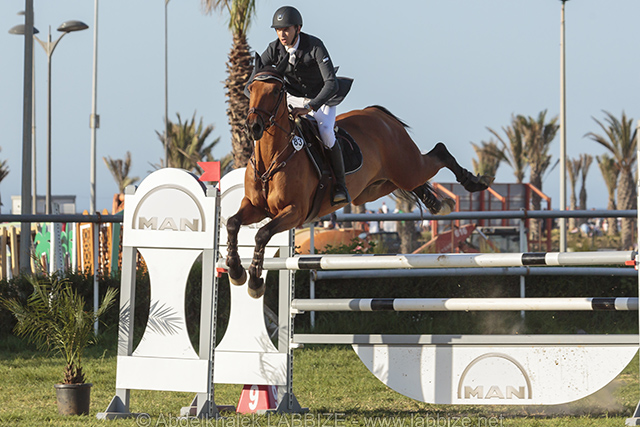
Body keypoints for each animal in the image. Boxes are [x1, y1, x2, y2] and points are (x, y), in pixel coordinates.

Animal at [225, 69, 493, 298]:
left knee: (438, 153)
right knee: (413, 183)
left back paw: (475, 182)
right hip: (375, 187)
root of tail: (378, 114)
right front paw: (235, 270)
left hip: (407, 168)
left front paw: (255, 282)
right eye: (251, 88)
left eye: (275, 91)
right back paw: (440, 204)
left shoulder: (294, 212)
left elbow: (262, 234)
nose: (253, 126)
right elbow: (232, 223)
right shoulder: (255, 206)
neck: (272, 158)